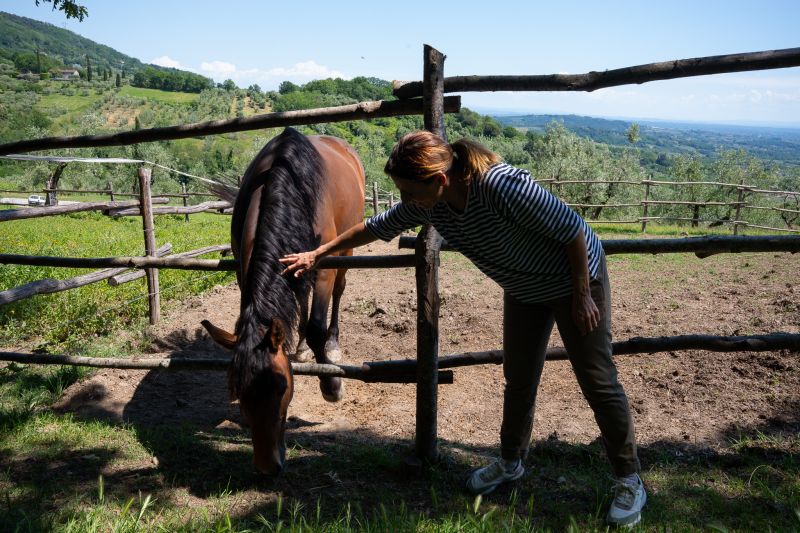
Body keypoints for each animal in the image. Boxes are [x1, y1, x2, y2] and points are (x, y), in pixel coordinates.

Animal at [201, 127, 365, 475]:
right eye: (238, 391)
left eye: (282, 388)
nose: (268, 467)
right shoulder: (246, 269)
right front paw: (302, 348)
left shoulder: (322, 268)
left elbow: (316, 325)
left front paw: (331, 385)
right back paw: (301, 347)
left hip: (345, 251)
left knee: (338, 294)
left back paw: (332, 345)